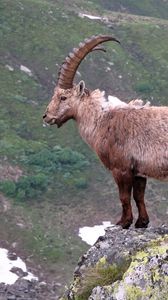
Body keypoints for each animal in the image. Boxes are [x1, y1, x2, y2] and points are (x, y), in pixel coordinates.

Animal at [43, 34, 168, 227]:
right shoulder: (139, 171)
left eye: (63, 97)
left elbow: (124, 197)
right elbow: (139, 196)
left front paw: (123, 222)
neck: (102, 121)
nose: (46, 116)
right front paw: (142, 222)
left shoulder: (120, 168)